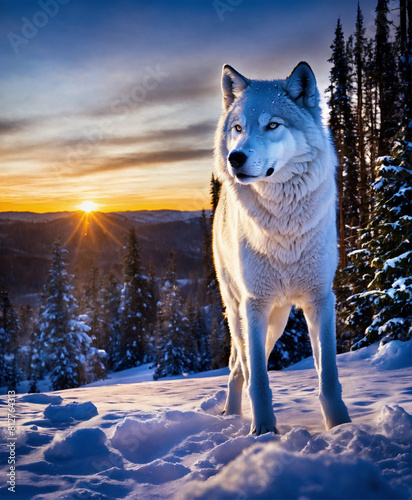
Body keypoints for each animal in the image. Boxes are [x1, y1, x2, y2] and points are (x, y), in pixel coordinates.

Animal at [212, 62, 350, 436]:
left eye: (272, 125)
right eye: (238, 128)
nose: (235, 157)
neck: (284, 227)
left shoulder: (320, 299)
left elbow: (328, 374)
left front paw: (341, 427)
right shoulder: (255, 305)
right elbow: (258, 379)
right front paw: (263, 432)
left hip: (278, 321)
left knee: (240, 366)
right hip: (243, 313)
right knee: (240, 367)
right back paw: (233, 416)